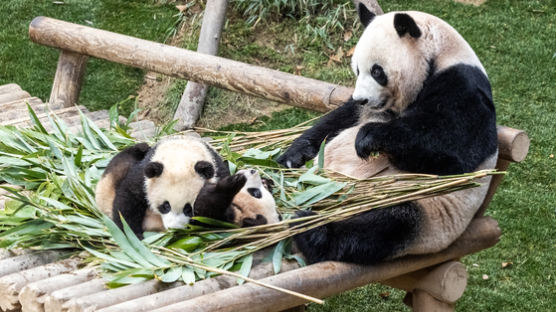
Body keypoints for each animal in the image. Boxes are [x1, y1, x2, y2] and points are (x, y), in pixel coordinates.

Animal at [278, 4, 500, 264]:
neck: (441, 57)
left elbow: (451, 150)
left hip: (420, 206)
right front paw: (293, 154)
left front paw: (368, 138)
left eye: (377, 71)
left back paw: (311, 232)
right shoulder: (364, 110)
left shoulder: (464, 88)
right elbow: (338, 120)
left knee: (383, 225)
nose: (362, 98)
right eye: (357, 69)